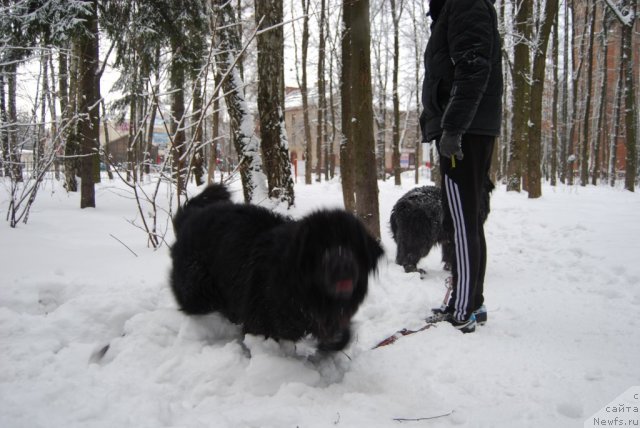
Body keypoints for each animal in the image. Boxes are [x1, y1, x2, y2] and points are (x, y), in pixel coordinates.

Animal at [168, 185, 384, 352]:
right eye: (322, 248)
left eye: (352, 246)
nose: (343, 264)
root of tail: (189, 217)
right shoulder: (261, 317)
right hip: (198, 288)